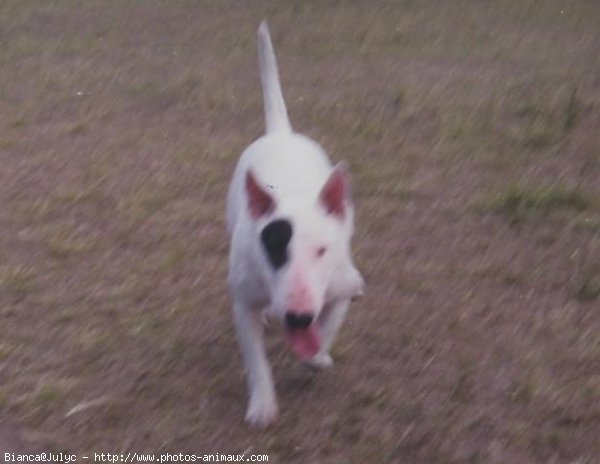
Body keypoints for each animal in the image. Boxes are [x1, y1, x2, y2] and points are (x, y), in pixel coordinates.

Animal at [226, 21, 364, 428]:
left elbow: (328, 327)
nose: (299, 317)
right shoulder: (243, 303)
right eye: (273, 251)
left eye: (321, 251)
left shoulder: (336, 289)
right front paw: (262, 405)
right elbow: (255, 360)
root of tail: (280, 133)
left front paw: (317, 358)